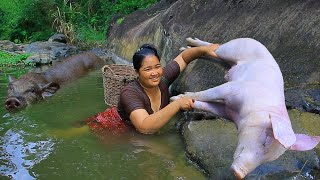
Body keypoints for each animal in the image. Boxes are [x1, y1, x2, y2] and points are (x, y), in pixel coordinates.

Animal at [171, 37, 320, 179]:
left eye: (269, 159)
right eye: (265, 141)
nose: (239, 174)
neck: (244, 114)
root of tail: (257, 42)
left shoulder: (226, 111)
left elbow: (207, 106)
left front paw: (184, 101)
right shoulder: (232, 89)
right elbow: (208, 93)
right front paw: (176, 98)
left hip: (226, 63)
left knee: (214, 54)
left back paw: (186, 48)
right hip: (232, 49)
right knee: (216, 47)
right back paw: (187, 43)